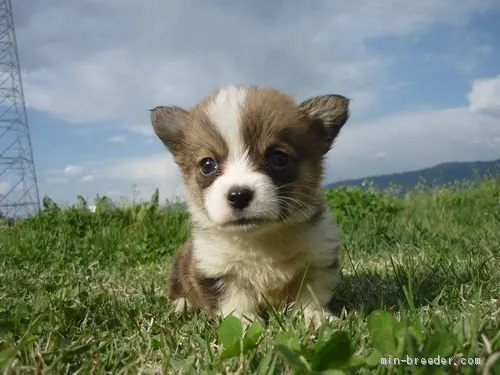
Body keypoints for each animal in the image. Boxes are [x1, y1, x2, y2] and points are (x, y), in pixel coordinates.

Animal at [150, 84, 350, 328]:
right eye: (207, 165)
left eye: (278, 158)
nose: (238, 195)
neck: (260, 239)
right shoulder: (218, 268)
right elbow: (235, 299)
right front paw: (244, 323)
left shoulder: (318, 257)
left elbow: (311, 294)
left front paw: (314, 317)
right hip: (179, 268)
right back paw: (182, 305)